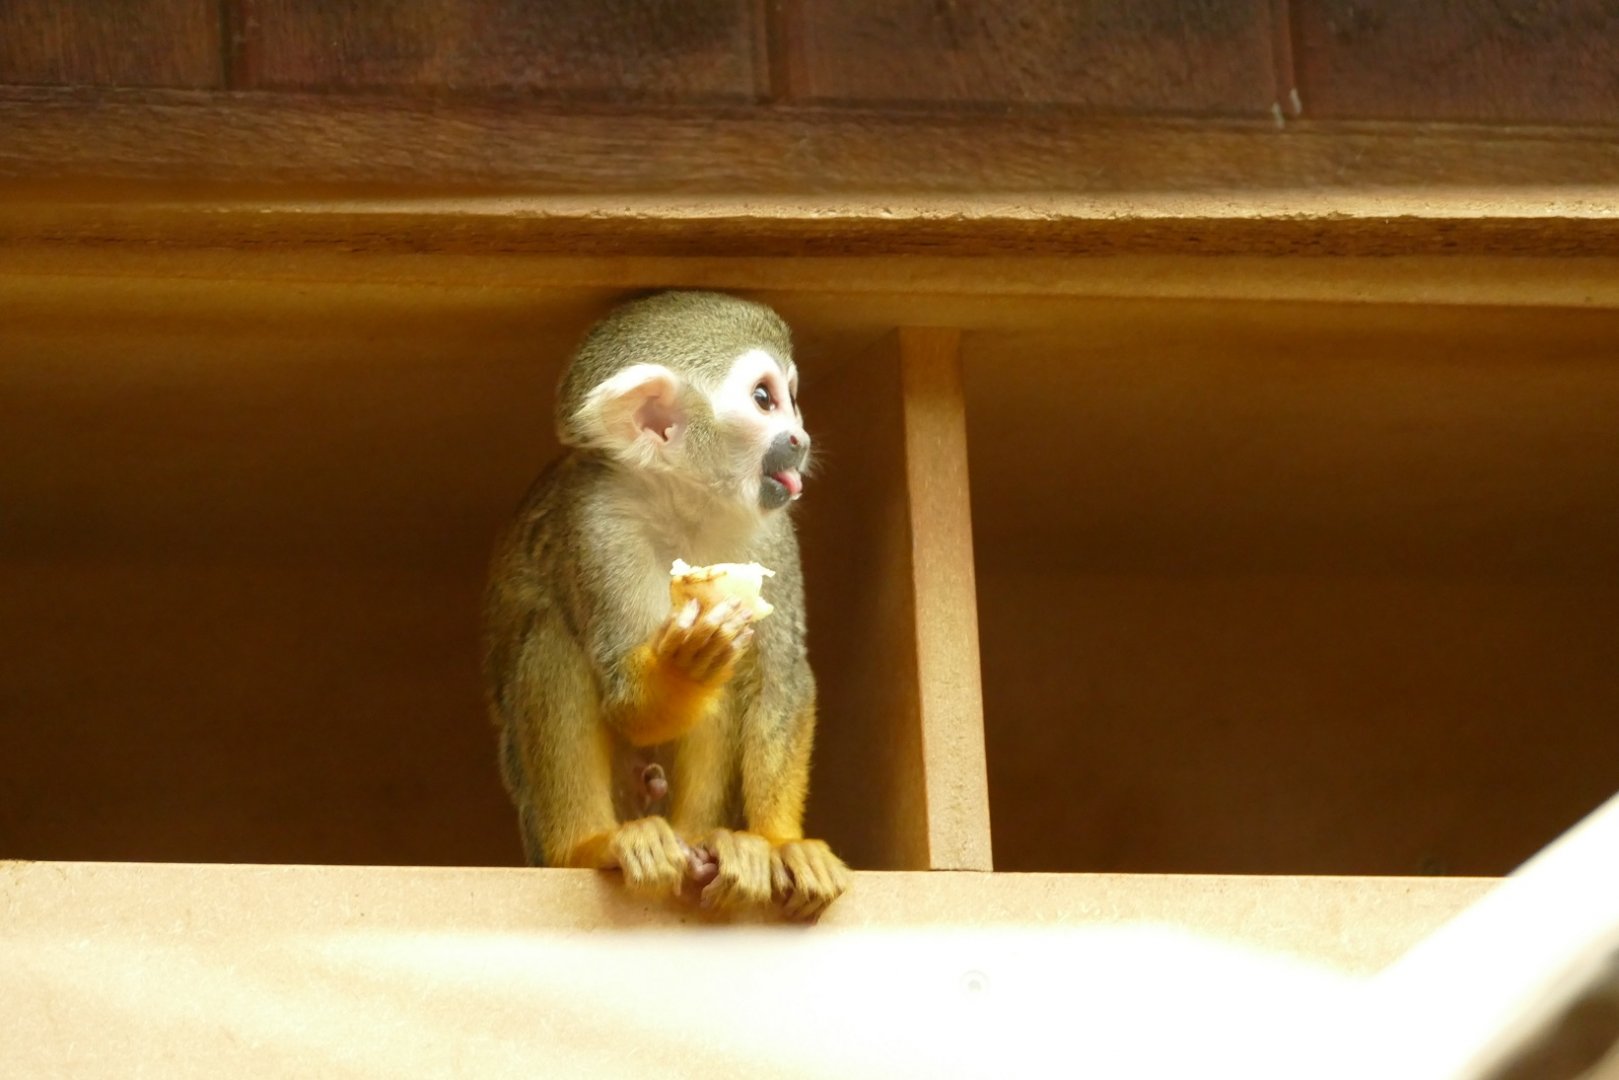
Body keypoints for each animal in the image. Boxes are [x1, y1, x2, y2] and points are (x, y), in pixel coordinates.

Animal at [482, 290, 851, 920]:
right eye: (765, 399)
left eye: (793, 398)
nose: (800, 439)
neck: (688, 502)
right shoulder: (599, 523)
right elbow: (626, 696)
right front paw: (687, 663)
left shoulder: (773, 530)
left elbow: (779, 680)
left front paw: (781, 842)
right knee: (551, 639)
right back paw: (588, 845)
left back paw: (710, 847)